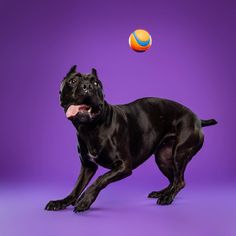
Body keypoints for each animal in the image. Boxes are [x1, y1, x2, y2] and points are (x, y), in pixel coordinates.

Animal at [45, 65, 217, 212]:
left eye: (96, 83)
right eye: (73, 81)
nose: (88, 86)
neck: (90, 128)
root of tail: (198, 119)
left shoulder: (123, 166)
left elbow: (100, 180)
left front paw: (85, 200)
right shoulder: (88, 166)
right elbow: (76, 187)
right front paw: (61, 202)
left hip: (179, 153)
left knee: (180, 181)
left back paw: (167, 197)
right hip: (163, 158)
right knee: (173, 179)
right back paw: (162, 193)